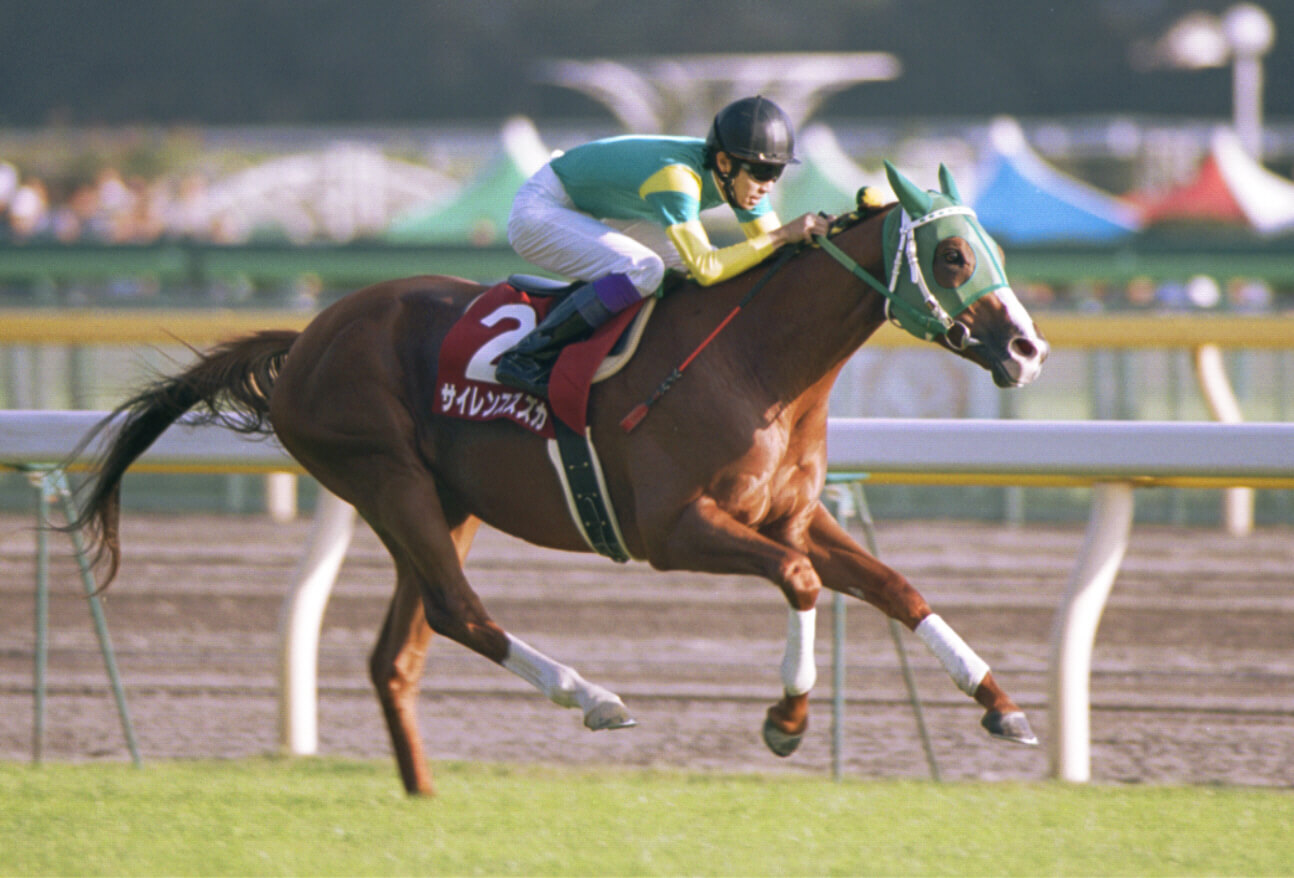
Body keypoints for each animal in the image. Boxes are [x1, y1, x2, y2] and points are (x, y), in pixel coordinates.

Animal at [68, 162, 1048, 795]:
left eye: (994, 249)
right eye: (954, 257)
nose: (1026, 349)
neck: (757, 363)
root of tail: (308, 334)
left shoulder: (791, 516)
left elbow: (896, 585)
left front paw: (1002, 705)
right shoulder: (673, 530)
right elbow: (803, 582)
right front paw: (786, 721)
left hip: (446, 500)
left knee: (402, 648)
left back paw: (424, 791)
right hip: (387, 479)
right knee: (458, 612)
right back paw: (595, 699)